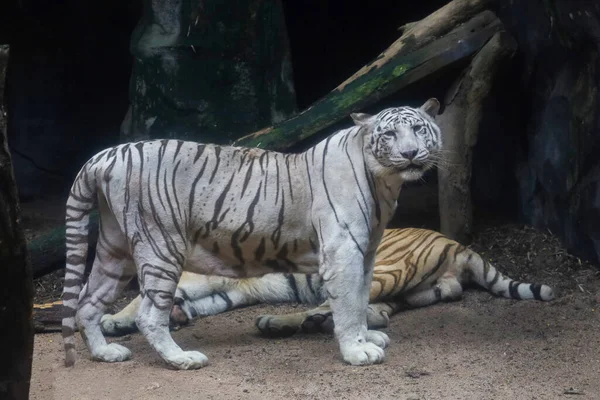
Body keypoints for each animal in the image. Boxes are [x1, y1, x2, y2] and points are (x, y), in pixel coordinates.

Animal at [62, 97, 440, 368]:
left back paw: (105, 353)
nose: (409, 153)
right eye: (389, 135)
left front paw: (367, 339)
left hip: (114, 250)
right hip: (160, 247)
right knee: (147, 314)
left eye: (419, 129)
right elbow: (347, 305)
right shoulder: (343, 252)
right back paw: (181, 359)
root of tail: (106, 154)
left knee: (87, 303)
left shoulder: (367, 253)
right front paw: (356, 351)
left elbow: (360, 300)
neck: (385, 183)